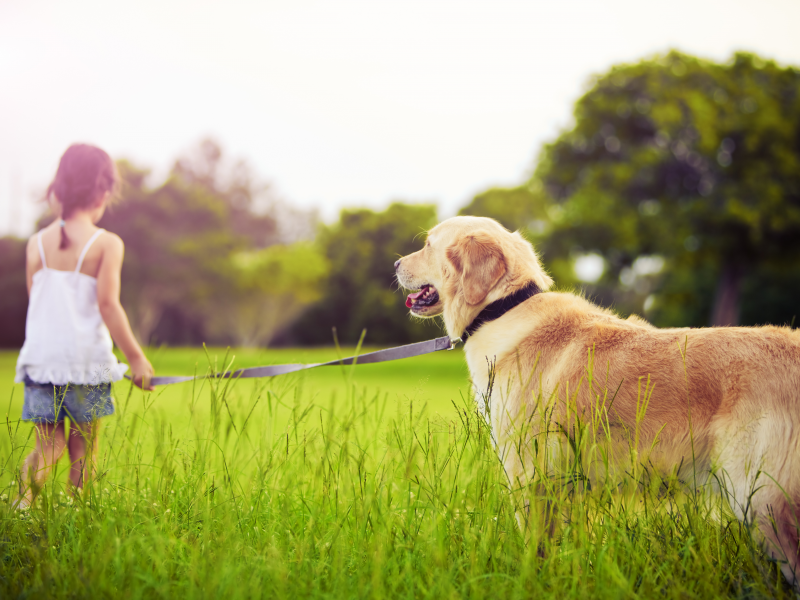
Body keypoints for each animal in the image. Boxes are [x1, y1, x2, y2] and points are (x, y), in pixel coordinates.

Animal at [394, 214, 800, 584]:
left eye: (428, 245)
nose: (395, 265)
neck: (503, 309)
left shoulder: (529, 473)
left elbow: (534, 548)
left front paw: (531, 583)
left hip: (762, 500)